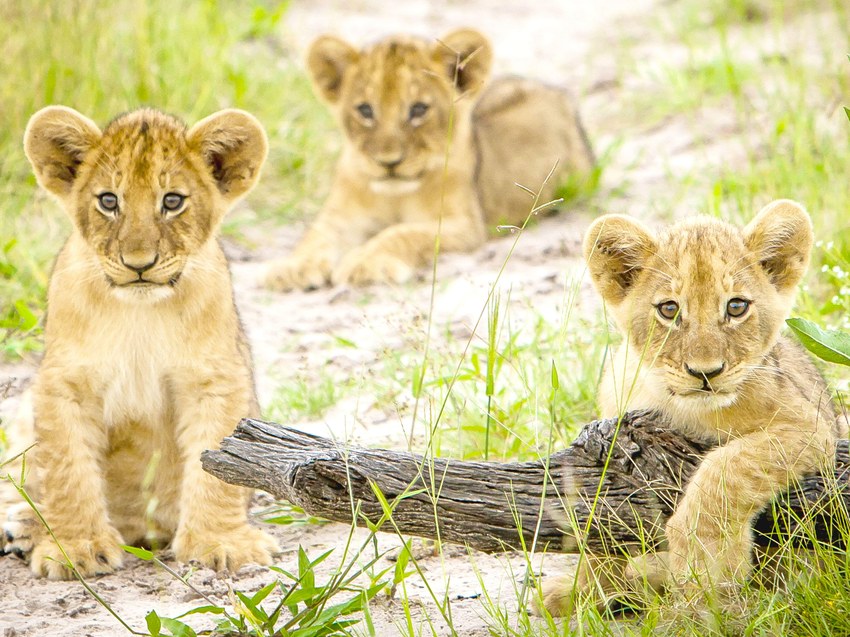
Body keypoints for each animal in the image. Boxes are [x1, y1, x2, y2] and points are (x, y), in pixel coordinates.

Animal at [1, 106, 279, 579]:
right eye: (109, 201)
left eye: (173, 201)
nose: (139, 264)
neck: (140, 313)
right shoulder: (65, 383)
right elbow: (67, 468)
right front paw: (74, 548)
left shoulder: (215, 378)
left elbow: (218, 468)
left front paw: (221, 542)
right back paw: (23, 527)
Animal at [263, 28, 595, 290]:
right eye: (365, 110)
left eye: (419, 109)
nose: (389, 162)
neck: (393, 195)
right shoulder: (339, 217)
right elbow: (315, 237)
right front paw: (293, 268)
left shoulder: (462, 226)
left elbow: (404, 233)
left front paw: (366, 262)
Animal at [539, 200, 845, 615]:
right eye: (669, 309)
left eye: (736, 306)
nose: (705, 372)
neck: (673, 403)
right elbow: (599, 531)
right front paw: (579, 590)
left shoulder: (808, 426)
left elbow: (727, 469)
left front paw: (706, 561)